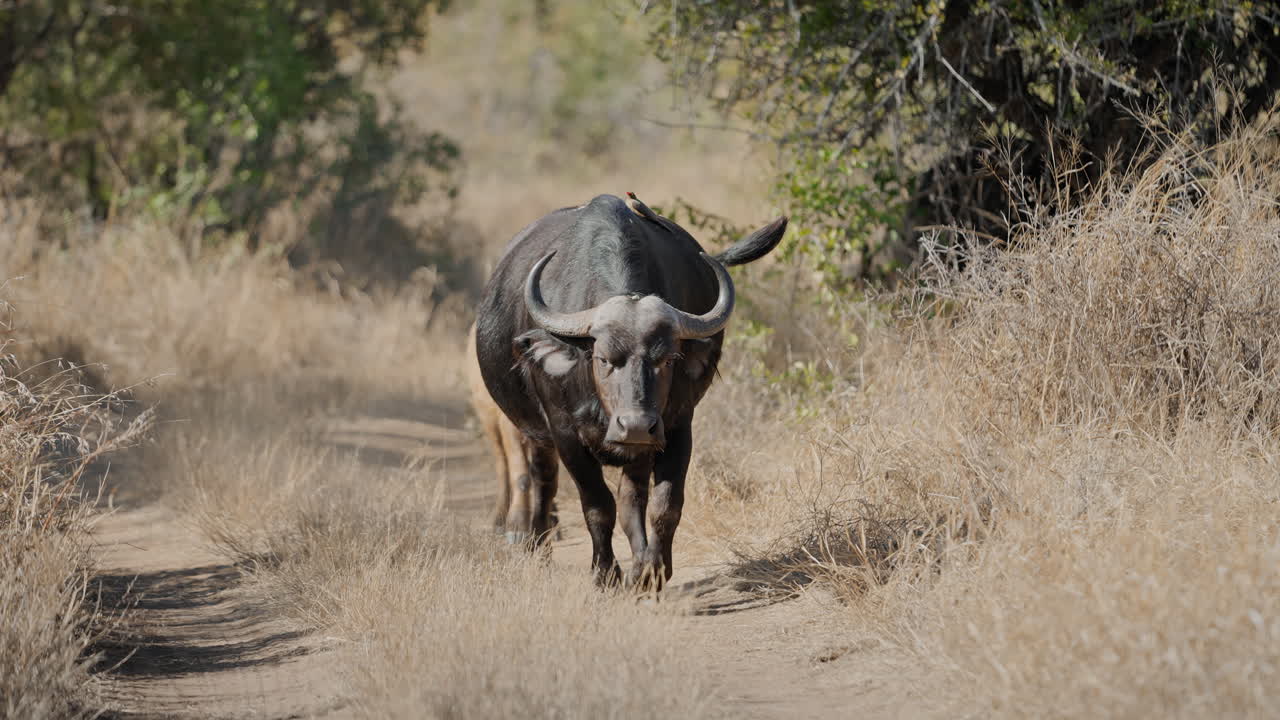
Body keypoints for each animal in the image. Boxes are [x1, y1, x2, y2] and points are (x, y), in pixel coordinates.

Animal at [474, 193, 787, 588]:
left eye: (667, 358)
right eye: (603, 358)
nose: (636, 424)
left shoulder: (677, 427)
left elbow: (664, 505)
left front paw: (652, 570)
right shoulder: (565, 433)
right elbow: (597, 505)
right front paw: (605, 572)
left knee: (630, 498)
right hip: (535, 432)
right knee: (544, 480)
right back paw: (537, 544)